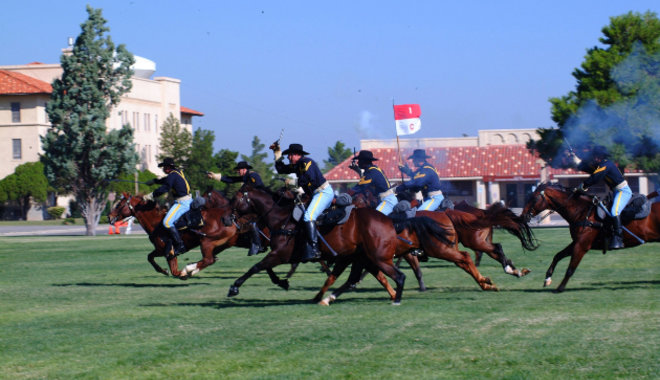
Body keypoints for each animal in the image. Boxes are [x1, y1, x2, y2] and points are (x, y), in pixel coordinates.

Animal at [108, 193, 240, 280]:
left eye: (119, 204)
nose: (109, 217)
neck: (157, 224)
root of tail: (231, 218)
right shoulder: (161, 250)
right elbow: (150, 257)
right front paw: (164, 271)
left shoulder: (169, 252)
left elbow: (175, 272)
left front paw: (182, 273)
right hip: (222, 244)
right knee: (211, 259)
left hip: (206, 242)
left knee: (208, 260)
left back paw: (189, 269)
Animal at [520, 183, 660, 292]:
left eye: (533, 198)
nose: (522, 216)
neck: (581, 212)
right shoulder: (576, 243)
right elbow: (558, 256)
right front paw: (547, 278)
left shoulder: (582, 246)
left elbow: (570, 268)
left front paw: (560, 287)